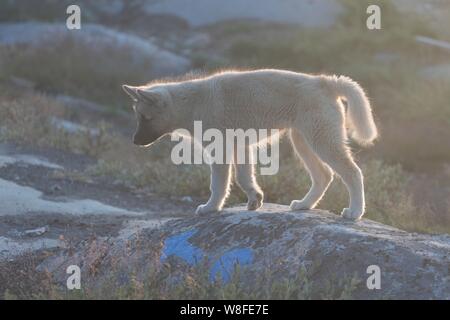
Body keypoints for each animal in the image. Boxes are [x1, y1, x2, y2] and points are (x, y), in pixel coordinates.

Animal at [122, 69, 376, 220]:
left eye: (145, 118)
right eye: (138, 117)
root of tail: (325, 81)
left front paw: (211, 208)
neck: (192, 104)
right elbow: (245, 177)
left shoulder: (220, 151)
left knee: (353, 173)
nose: (134, 141)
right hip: (304, 141)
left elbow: (219, 184)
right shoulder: (241, 148)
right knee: (324, 175)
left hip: (321, 139)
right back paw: (304, 205)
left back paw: (355, 212)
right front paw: (255, 199)